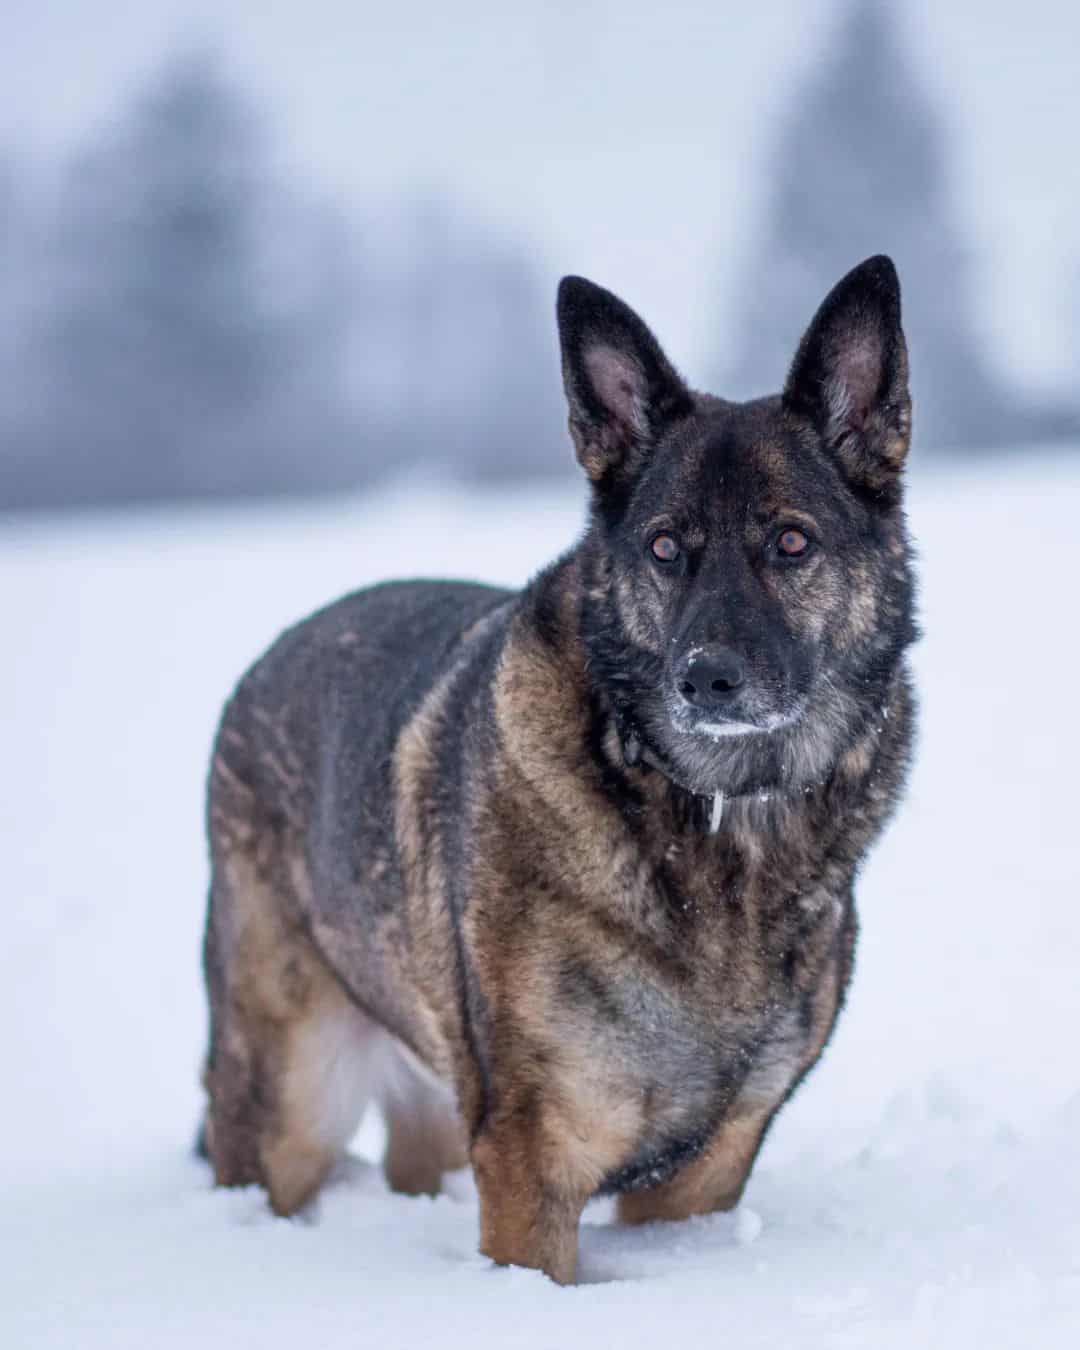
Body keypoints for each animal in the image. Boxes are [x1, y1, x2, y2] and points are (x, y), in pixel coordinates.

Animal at [198, 255, 918, 1285]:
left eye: (792, 543)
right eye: (665, 548)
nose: (706, 678)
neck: (717, 825)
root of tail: (264, 665)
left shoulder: (705, 1173)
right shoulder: (533, 1157)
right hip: (291, 1102)